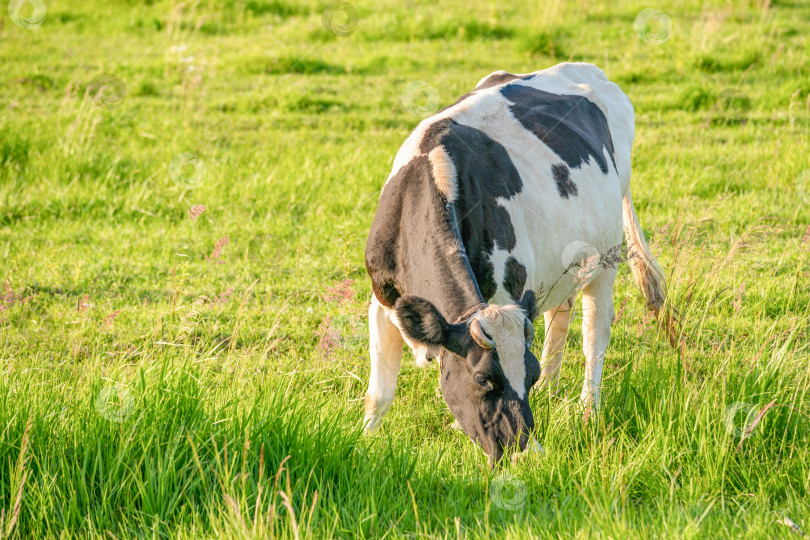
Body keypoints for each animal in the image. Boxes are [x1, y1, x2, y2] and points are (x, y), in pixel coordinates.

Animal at [362, 63, 664, 466]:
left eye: (527, 378)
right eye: (483, 379)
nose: (525, 454)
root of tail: (585, 68)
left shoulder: (508, 293)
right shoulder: (383, 302)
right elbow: (379, 393)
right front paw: (363, 441)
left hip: (608, 254)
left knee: (595, 332)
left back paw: (588, 410)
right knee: (559, 314)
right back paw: (553, 389)